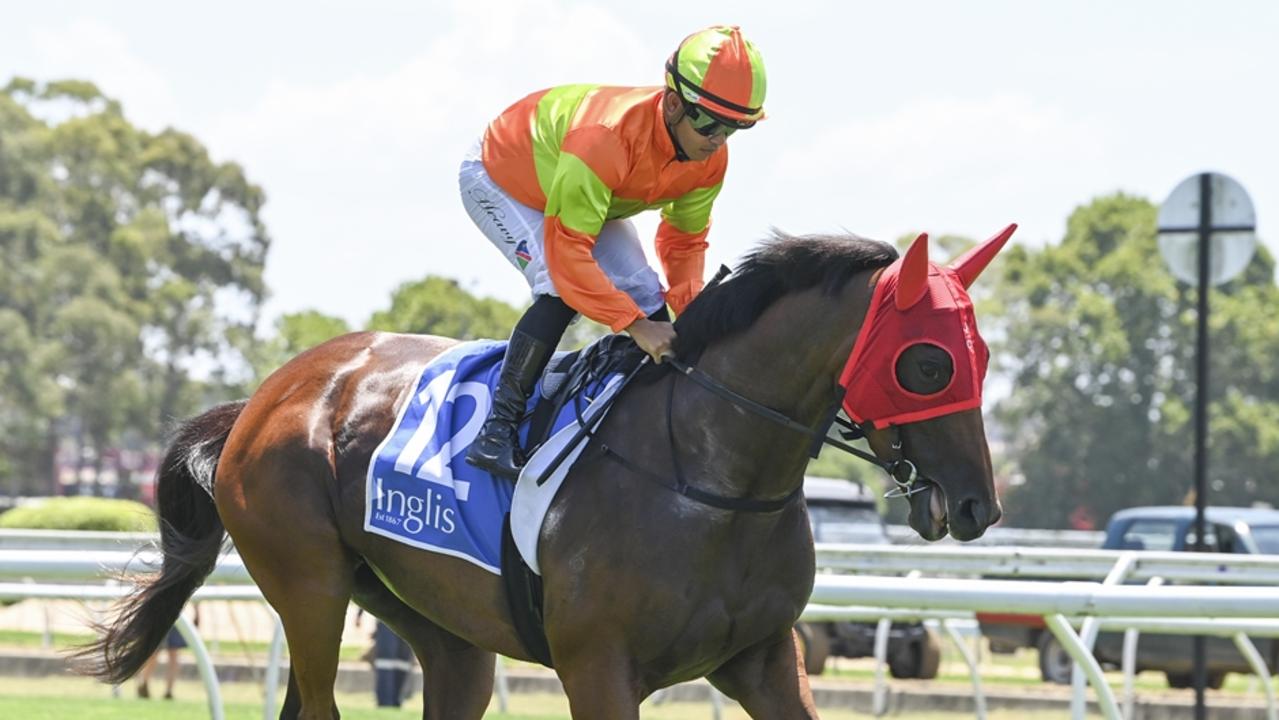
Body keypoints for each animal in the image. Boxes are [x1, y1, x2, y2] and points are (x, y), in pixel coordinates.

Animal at [82, 223, 1018, 716]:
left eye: (981, 355)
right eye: (927, 363)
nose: (977, 503)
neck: (710, 480)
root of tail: (265, 397)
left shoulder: (763, 657)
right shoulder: (599, 667)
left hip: (438, 624)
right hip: (307, 583)